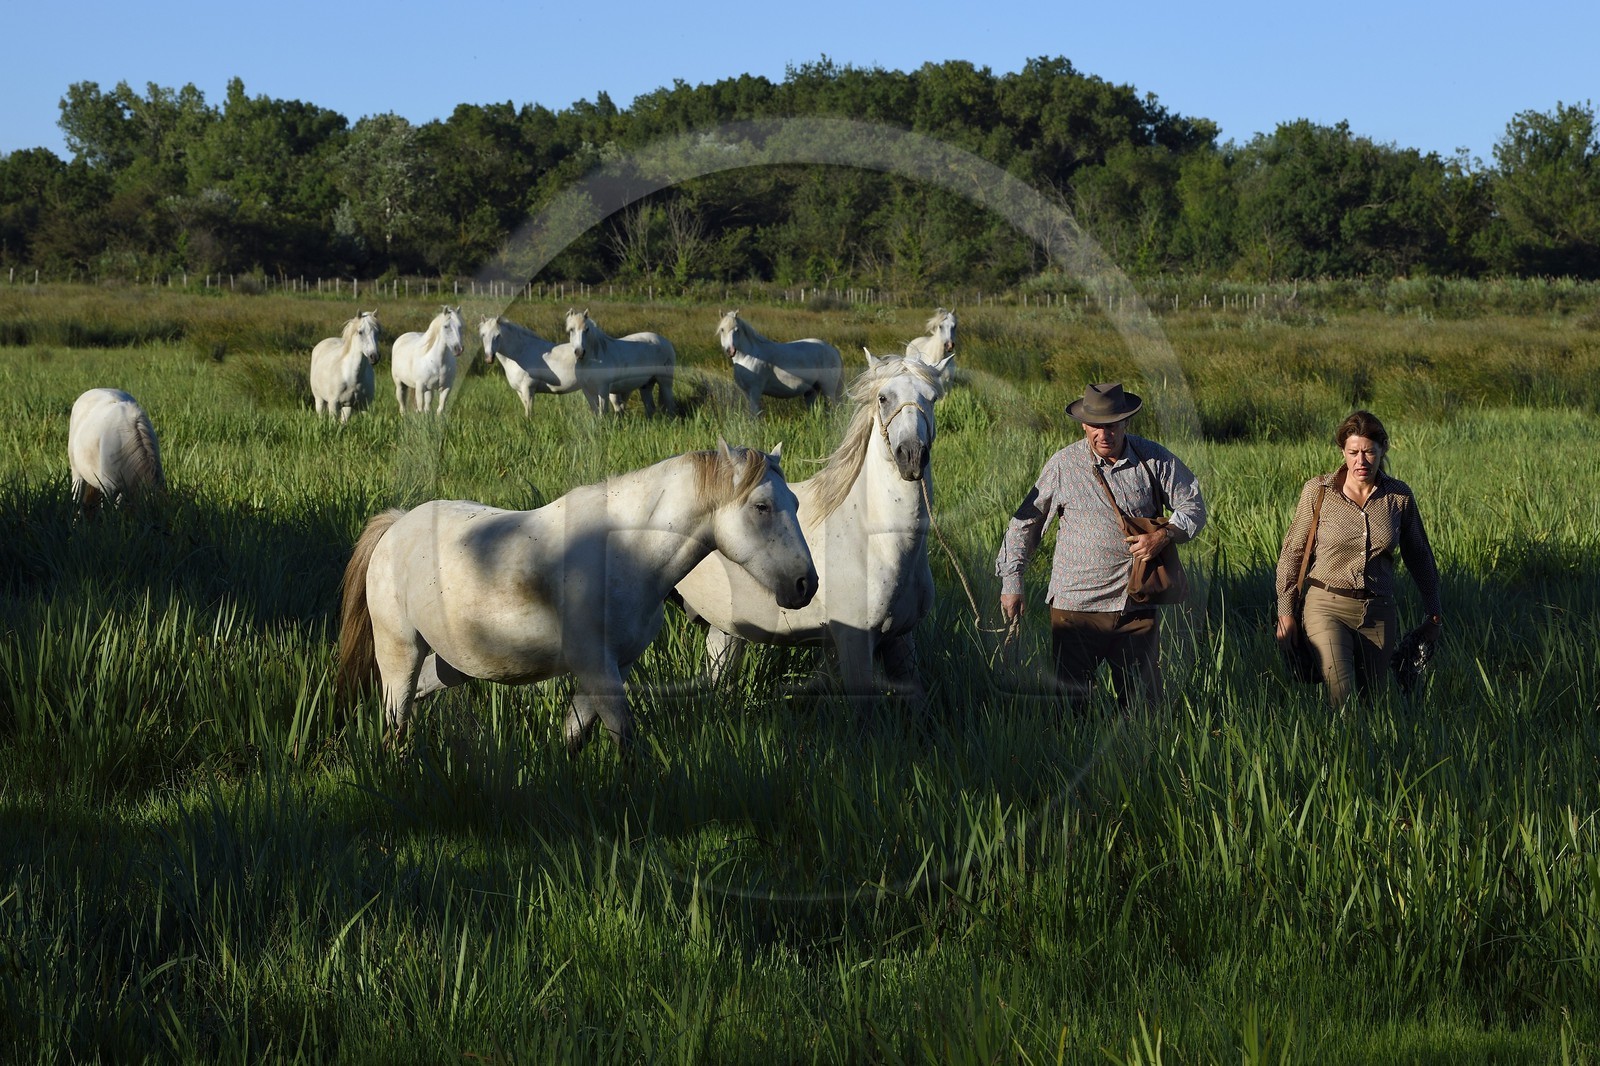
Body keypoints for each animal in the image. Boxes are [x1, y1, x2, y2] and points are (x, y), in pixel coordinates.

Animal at [337, 441, 818, 754]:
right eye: (761, 506)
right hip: (401, 652)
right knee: (396, 718)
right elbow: (625, 740)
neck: (624, 552)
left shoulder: (612, 667)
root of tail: (397, 525)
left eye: (795, 502)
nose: (805, 585)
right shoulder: (597, 667)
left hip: (448, 665)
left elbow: (575, 737)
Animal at [673, 353, 952, 706]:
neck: (877, 542)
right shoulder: (854, 643)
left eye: (932, 398)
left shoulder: (901, 640)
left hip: (723, 629)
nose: (912, 456)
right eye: (883, 398)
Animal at [715, 309, 844, 417]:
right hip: (811, 391)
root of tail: (833, 350)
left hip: (828, 390)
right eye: (722, 330)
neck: (748, 355)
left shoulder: (755, 391)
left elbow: (755, 415)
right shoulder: (747, 392)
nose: (730, 350)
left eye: (737, 330)